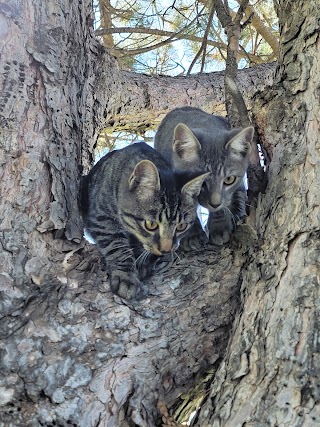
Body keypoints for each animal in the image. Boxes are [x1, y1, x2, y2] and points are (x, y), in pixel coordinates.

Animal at [79, 142, 209, 300]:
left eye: (181, 226)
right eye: (151, 225)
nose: (166, 249)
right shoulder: (102, 217)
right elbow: (116, 246)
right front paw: (126, 277)